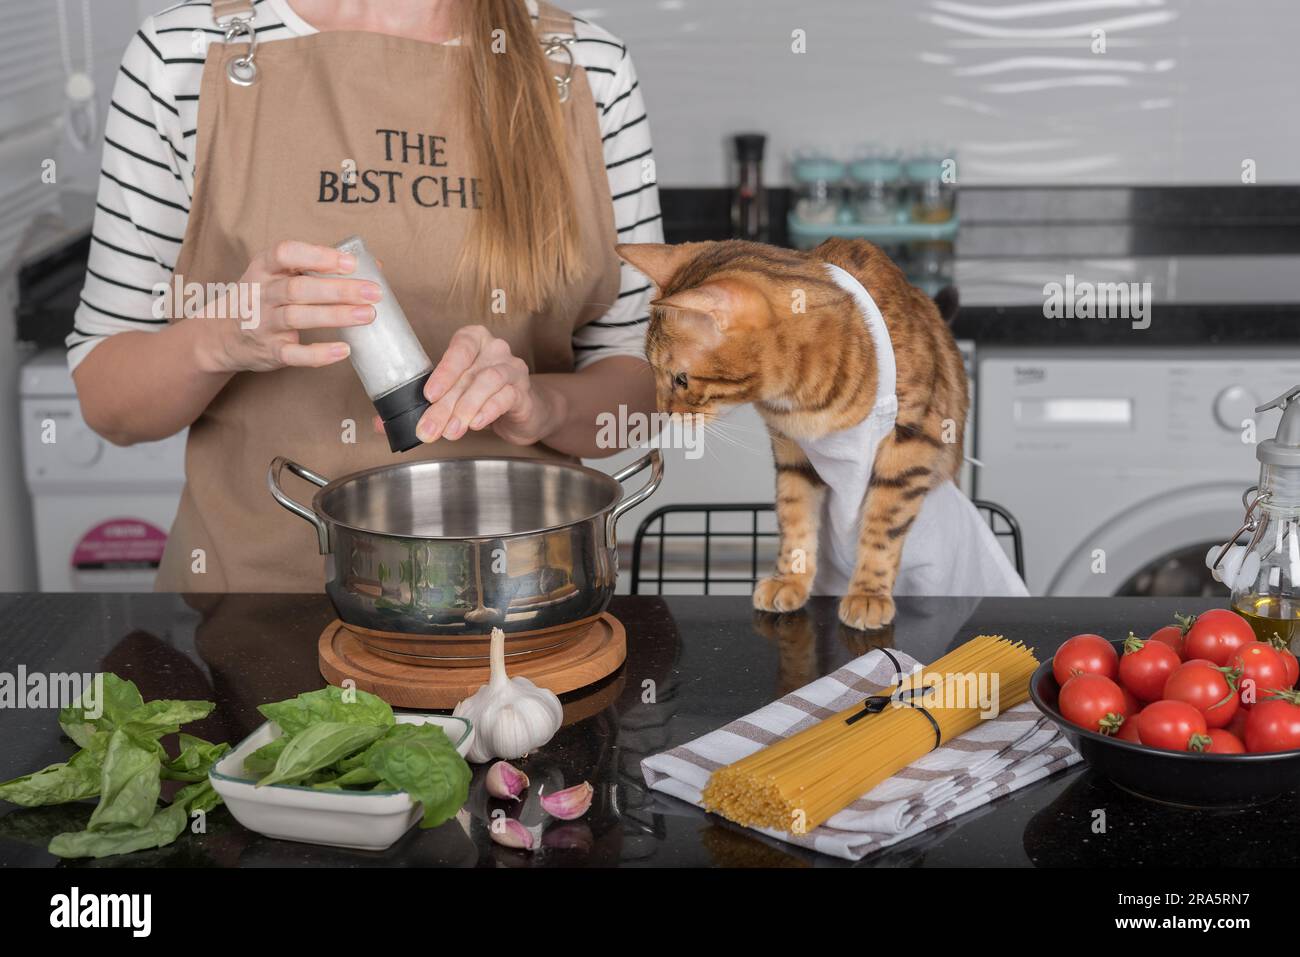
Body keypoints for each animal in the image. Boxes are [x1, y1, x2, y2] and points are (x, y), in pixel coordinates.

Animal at [616, 236, 967, 631]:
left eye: (680, 379)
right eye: (653, 372)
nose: (661, 412)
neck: (799, 398)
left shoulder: (911, 443)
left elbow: (883, 524)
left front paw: (868, 593)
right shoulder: (793, 451)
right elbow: (794, 514)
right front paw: (790, 579)